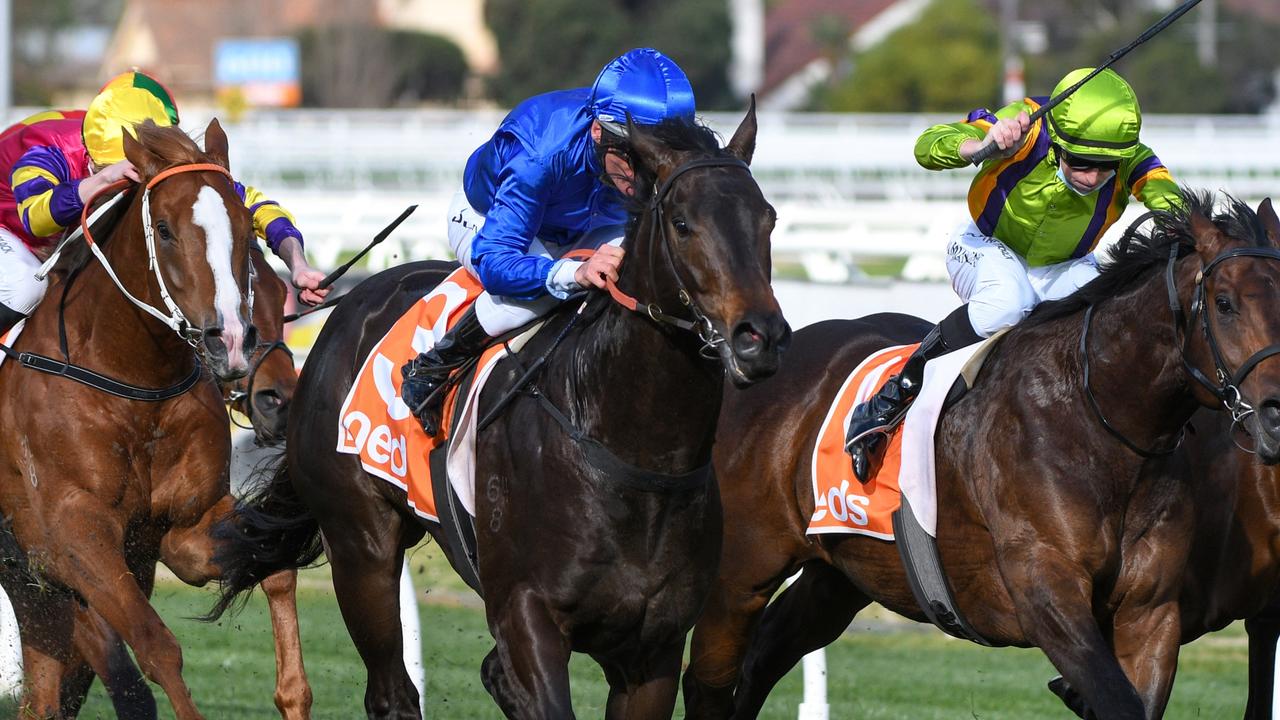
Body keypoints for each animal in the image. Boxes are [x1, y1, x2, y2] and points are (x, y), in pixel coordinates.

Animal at [0, 119, 304, 717]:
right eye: (163, 230)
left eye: (243, 226)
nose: (229, 341)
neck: (136, 385)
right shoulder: (71, 533)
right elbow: (155, 647)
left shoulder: (180, 526)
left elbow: (275, 569)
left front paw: (294, 694)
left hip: (35, 589)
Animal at [211, 107, 788, 717]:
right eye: (682, 223)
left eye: (768, 218)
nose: (759, 337)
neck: (634, 456)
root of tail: (350, 302)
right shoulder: (527, 617)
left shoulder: (653, 648)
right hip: (360, 545)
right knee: (392, 691)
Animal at [686, 190, 1280, 717]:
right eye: (1224, 303)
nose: (1276, 415)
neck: (1097, 419)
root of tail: (754, 361)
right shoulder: (1048, 593)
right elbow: (1115, 701)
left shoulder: (1151, 613)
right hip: (742, 568)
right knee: (709, 676)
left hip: (840, 573)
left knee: (764, 657)